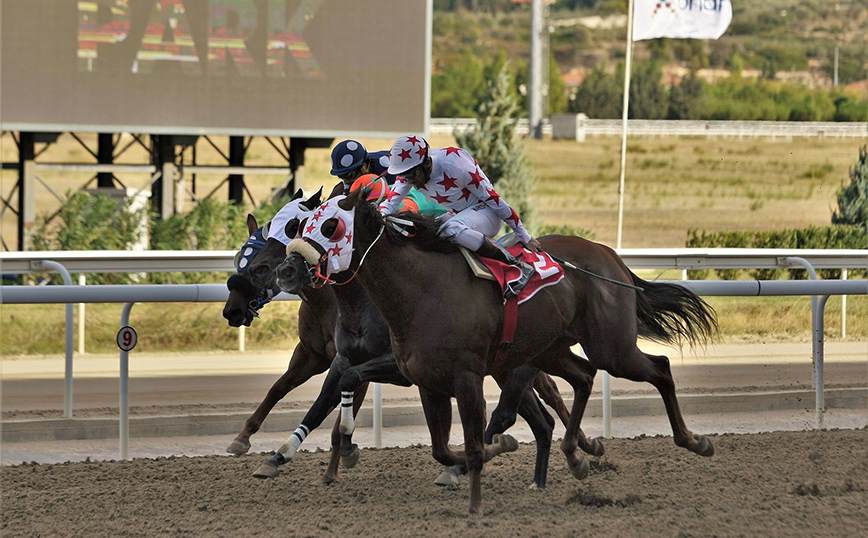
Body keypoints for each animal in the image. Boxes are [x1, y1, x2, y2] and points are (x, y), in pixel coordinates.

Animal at [280, 188, 720, 510]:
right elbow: (442, 449)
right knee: (583, 377)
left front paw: (476, 503)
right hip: (548, 350)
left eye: (331, 225)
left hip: (611, 347)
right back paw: (575, 456)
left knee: (659, 368)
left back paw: (693, 441)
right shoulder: (426, 381)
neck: (421, 290)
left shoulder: (466, 377)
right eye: (304, 223)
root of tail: (610, 255)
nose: (287, 269)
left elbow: (474, 443)